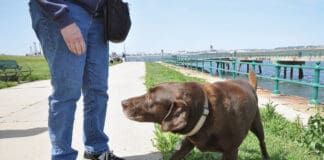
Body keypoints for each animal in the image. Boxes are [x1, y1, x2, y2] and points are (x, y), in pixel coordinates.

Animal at [121, 72, 268, 159]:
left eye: (150, 98)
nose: (123, 103)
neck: (206, 112)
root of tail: (250, 85)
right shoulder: (187, 143)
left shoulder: (230, 152)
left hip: (257, 124)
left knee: (262, 141)